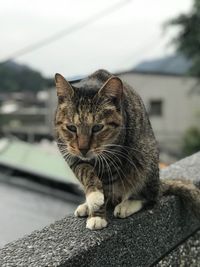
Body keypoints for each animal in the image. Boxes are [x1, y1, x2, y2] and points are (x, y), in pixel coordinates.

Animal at [54, 70, 200, 231]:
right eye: (71, 128)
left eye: (97, 127)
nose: (83, 149)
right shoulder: (70, 155)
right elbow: (86, 172)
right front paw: (94, 200)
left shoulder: (113, 159)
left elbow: (106, 186)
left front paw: (98, 215)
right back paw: (88, 204)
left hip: (144, 160)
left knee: (151, 197)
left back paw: (127, 204)